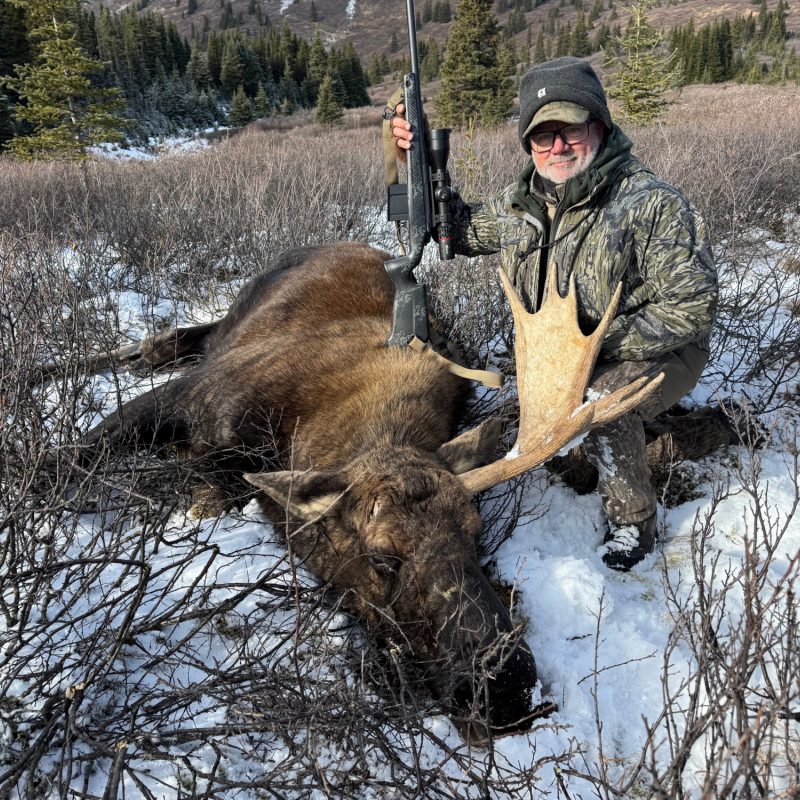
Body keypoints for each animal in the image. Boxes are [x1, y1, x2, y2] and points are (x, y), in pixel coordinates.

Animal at [80, 240, 661, 740]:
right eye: (382, 556)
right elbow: (74, 455)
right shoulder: (189, 398)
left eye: (477, 531)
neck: (304, 429)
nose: (507, 687)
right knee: (173, 339)